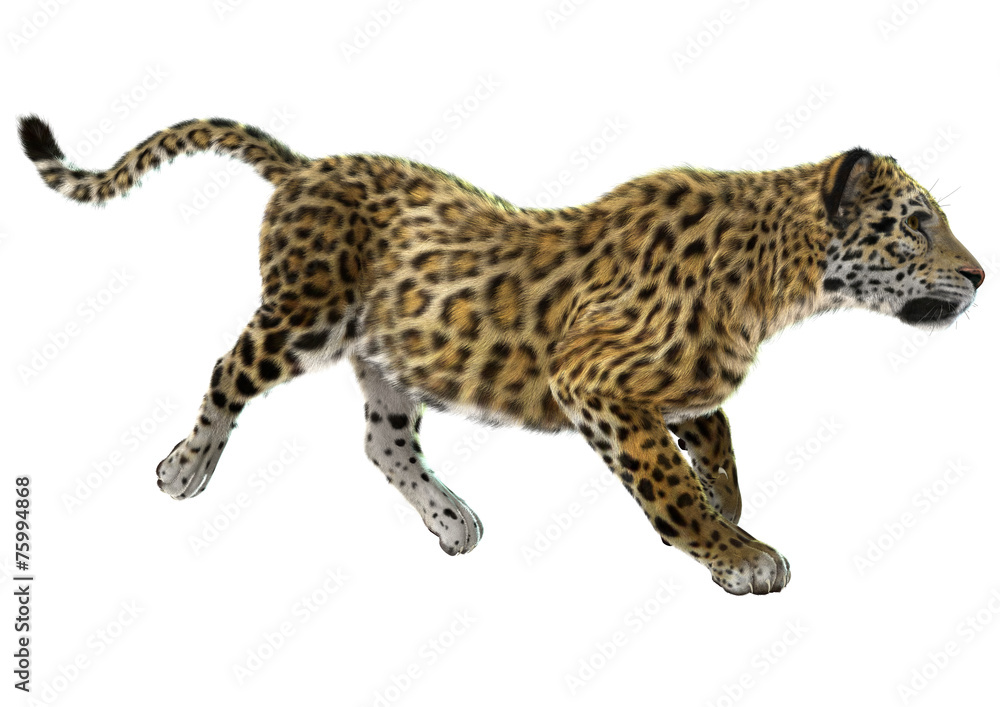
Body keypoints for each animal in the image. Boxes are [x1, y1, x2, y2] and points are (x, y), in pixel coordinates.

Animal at [18, 115, 984, 595]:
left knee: (383, 442)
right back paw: (184, 468)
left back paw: (451, 519)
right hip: (304, 316)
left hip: (390, 354)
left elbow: (716, 447)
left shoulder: (682, 391)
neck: (778, 284)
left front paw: (732, 511)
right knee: (227, 372)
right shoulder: (593, 378)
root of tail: (306, 165)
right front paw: (734, 551)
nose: (980, 275)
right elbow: (670, 485)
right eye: (916, 224)